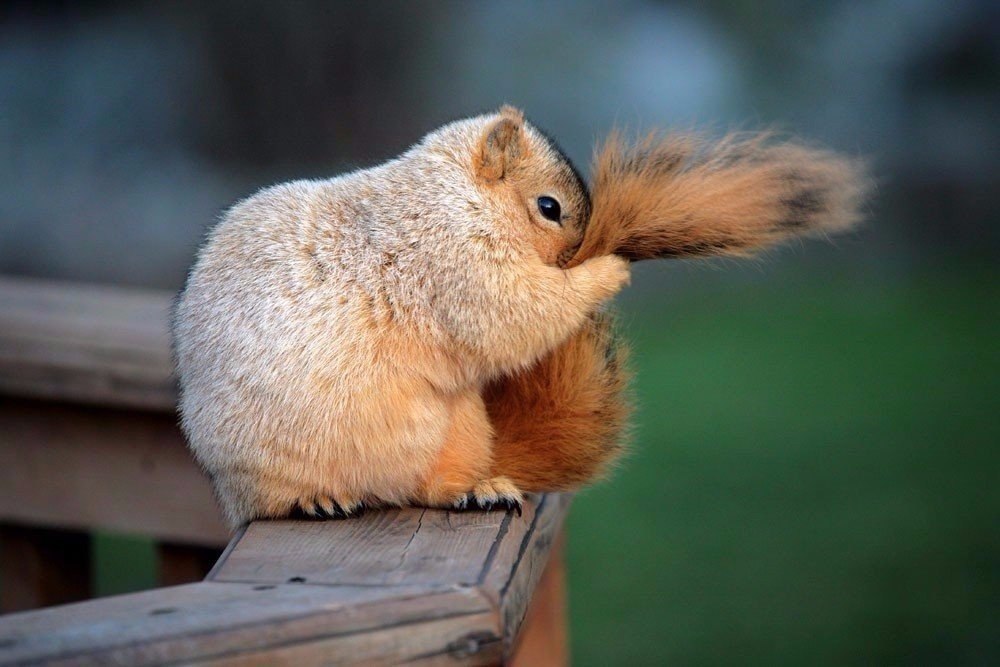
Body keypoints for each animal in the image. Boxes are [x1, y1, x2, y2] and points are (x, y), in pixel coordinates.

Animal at [174, 107, 868, 528]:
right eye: (549, 206)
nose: (575, 253)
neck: (457, 195)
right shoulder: (454, 264)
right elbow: (518, 314)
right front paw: (605, 271)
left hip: (456, 430)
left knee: (427, 488)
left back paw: (474, 490)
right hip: (259, 468)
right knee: (272, 501)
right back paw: (313, 499)